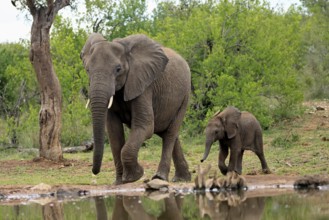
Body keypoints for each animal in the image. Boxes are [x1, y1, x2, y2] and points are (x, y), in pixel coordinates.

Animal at [80, 32, 191, 184]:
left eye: (118, 69)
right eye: (87, 70)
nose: (94, 172)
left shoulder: (144, 85)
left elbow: (145, 126)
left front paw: (134, 176)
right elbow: (114, 131)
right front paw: (119, 182)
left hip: (184, 96)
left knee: (170, 133)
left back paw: (160, 177)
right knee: (167, 132)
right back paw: (182, 179)